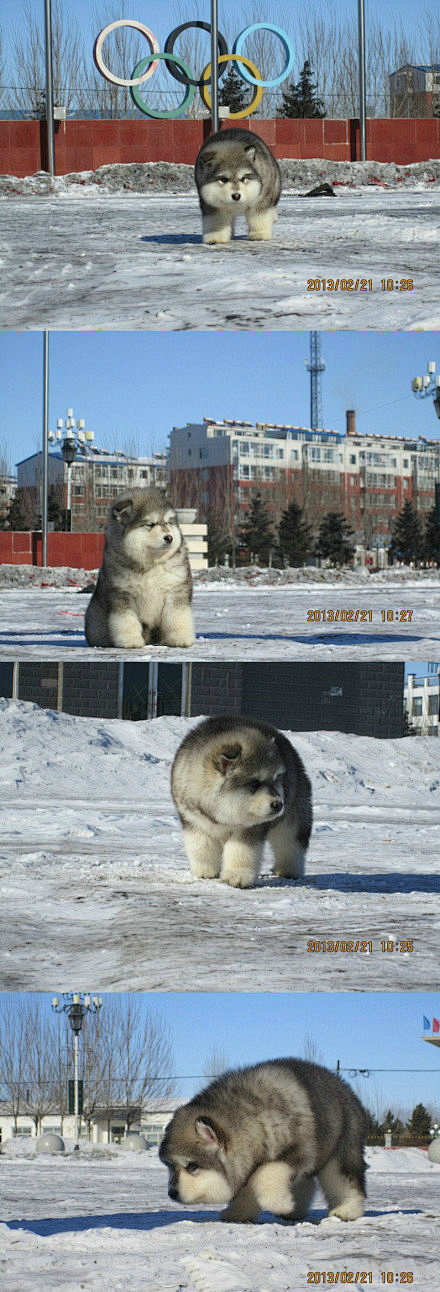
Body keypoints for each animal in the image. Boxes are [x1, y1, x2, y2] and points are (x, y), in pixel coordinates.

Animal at [84, 485, 194, 651]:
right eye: (150, 524)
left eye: (167, 522)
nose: (169, 537)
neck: (151, 563)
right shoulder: (122, 594)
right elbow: (126, 621)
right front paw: (129, 640)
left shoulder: (175, 590)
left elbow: (177, 616)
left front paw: (180, 638)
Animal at [159, 1054, 363, 1224]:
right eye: (170, 1166)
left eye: (192, 1166)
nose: (172, 1193)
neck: (253, 1118)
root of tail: (342, 1084)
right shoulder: (246, 1162)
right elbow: (248, 1188)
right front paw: (240, 1212)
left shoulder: (300, 1151)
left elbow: (266, 1174)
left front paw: (280, 1203)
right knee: (306, 1182)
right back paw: (296, 1209)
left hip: (342, 1149)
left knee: (346, 1180)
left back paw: (346, 1209)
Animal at [169, 718, 309, 888]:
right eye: (254, 783)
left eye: (276, 779)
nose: (278, 804)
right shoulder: (194, 821)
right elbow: (201, 847)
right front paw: (205, 871)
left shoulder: (249, 828)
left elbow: (241, 851)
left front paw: (237, 875)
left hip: (293, 820)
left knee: (291, 845)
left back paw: (289, 870)